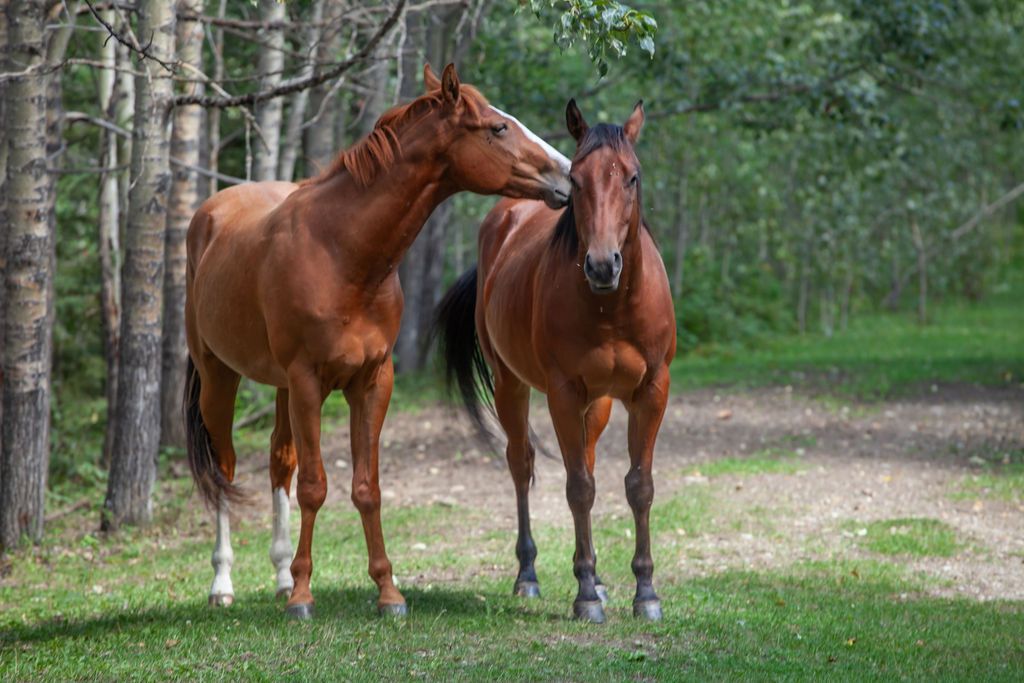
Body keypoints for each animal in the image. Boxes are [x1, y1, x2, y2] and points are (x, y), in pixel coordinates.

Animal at [184, 63, 572, 620]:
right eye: (498, 128)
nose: (568, 174)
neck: (341, 252)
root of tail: (208, 217)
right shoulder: (309, 382)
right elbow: (315, 487)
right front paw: (303, 597)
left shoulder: (372, 381)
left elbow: (366, 488)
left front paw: (387, 591)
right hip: (219, 376)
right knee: (223, 468)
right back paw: (223, 583)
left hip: (278, 387)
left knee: (279, 461)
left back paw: (278, 575)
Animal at [433, 99, 676, 623]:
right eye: (577, 180)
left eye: (632, 177)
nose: (603, 265)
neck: (612, 308)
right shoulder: (563, 393)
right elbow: (578, 487)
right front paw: (585, 595)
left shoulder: (651, 391)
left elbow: (638, 485)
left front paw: (644, 592)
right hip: (511, 385)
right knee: (522, 464)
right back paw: (528, 575)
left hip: (597, 404)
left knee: (585, 458)